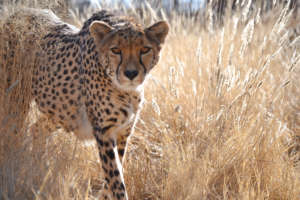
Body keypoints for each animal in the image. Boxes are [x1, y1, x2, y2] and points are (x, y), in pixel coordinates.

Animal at [30, 9, 169, 198]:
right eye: (116, 50)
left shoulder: (124, 132)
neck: (126, 91)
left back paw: (37, 163)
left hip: (61, 113)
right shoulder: (104, 131)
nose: (131, 73)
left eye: (145, 49)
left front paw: (103, 195)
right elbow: (115, 177)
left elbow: (115, 171)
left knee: (36, 128)